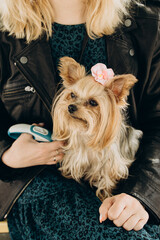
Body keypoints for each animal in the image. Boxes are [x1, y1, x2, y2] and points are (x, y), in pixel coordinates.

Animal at [51, 56, 141, 201]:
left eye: (93, 102)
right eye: (72, 95)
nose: (70, 107)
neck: (87, 134)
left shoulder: (110, 166)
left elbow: (106, 181)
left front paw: (105, 196)